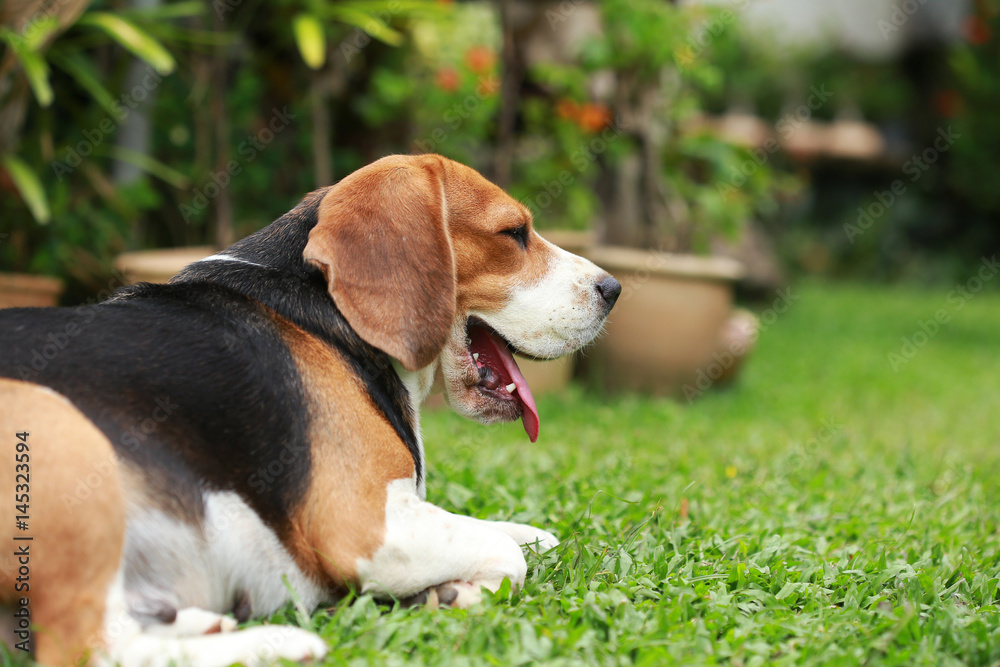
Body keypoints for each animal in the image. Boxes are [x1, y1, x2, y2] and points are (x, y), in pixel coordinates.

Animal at [0, 154, 620, 664]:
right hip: (64, 429)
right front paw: (457, 590)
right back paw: (281, 642)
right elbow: (507, 554)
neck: (325, 311)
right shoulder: (367, 527)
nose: (614, 289)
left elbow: (522, 536)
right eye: (513, 234)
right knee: (89, 649)